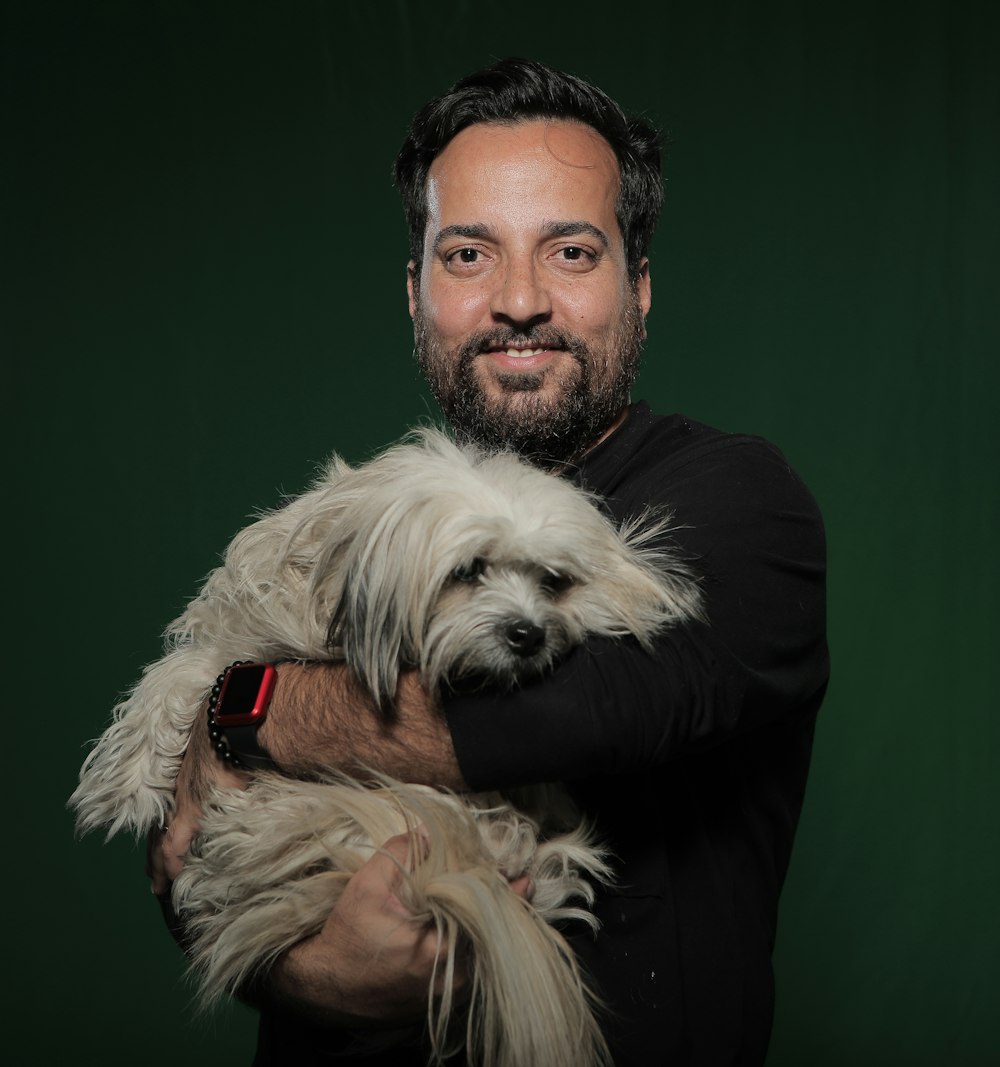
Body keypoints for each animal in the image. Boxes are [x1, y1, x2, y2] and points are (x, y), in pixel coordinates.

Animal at [70, 428, 700, 1067]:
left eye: (553, 581)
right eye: (469, 571)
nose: (529, 635)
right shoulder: (249, 633)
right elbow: (186, 672)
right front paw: (126, 782)